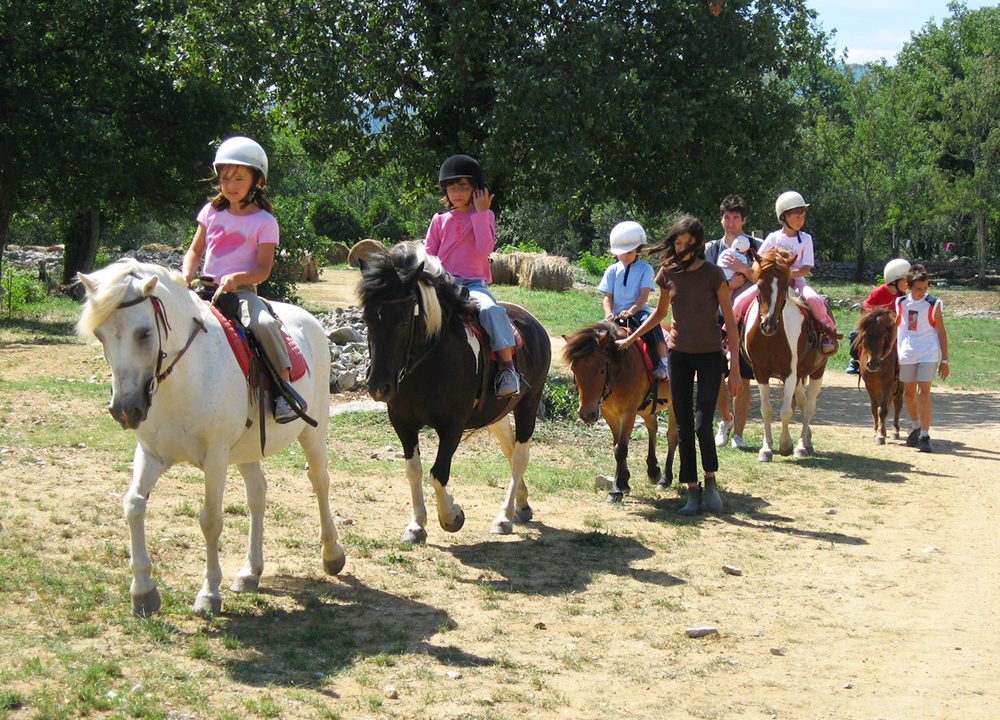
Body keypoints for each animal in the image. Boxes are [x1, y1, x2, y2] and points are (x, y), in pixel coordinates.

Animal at [76, 262, 346, 616]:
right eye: (100, 335)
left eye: (144, 333)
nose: (125, 410)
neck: (185, 378)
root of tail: (310, 321)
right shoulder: (150, 453)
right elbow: (133, 505)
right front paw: (143, 592)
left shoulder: (216, 458)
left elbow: (211, 521)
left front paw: (208, 594)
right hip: (246, 450)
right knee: (257, 494)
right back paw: (250, 572)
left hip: (312, 433)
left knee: (319, 482)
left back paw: (332, 555)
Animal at [356, 239, 552, 544]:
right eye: (366, 318)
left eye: (403, 321)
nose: (379, 387)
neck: (429, 360)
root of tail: (534, 323)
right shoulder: (402, 422)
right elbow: (414, 470)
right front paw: (416, 525)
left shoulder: (452, 425)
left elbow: (438, 474)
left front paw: (451, 517)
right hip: (497, 414)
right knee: (509, 449)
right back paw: (522, 504)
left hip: (528, 405)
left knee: (520, 456)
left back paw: (504, 517)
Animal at [564, 324, 680, 504]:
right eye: (574, 369)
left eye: (601, 370)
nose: (586, 414)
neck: (620, 370)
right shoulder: (609, 413)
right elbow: (616, 445)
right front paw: (624, 482)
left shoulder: (628, 413)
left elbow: (621, 449)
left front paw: (616, 489)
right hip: (646, 408)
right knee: (652, 425)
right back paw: (653, 469)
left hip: (674, 403)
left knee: (672, 436)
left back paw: (665, 479)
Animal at [744, 248, 828, 462]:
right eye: (759, 285)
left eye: (784, 286)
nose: (768, 324)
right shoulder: (761, 372)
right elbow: (767, 410)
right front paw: (766, 449)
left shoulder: (790, 372)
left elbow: (786, 411)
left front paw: (784, 446)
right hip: (799, 377)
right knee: (802, 402)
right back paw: (806, 441)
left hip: (817, 372)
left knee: (809, 406)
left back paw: (802, 446)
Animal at [852, 310, 908, 444]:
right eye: (864, 336)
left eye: (883, 337)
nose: (872, 364)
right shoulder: (869, 384)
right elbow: (874, 408)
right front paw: (875, 432)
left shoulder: (888, 383)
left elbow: (882, 410)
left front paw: (880, 436)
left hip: (898, 384)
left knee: (898, 404)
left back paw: (895, 432)